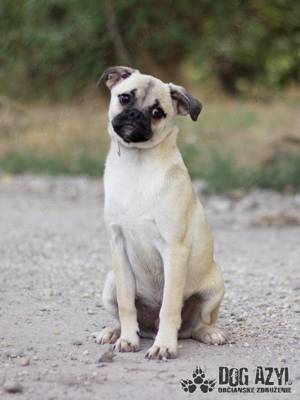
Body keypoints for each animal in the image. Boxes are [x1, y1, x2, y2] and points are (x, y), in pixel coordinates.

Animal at [95, 66, 226, 360]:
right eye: (125, 98)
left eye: (157, 112)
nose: (135, 114)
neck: (137, 165)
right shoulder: (118, 246)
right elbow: (126, 304)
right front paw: (128, 339)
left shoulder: (174, 250)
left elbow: (169, 306)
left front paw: (165, 345)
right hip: (109, 284)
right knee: (124, 313)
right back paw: (113, 332)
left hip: (214, 289)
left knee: (196, 325)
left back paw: (208, 333)